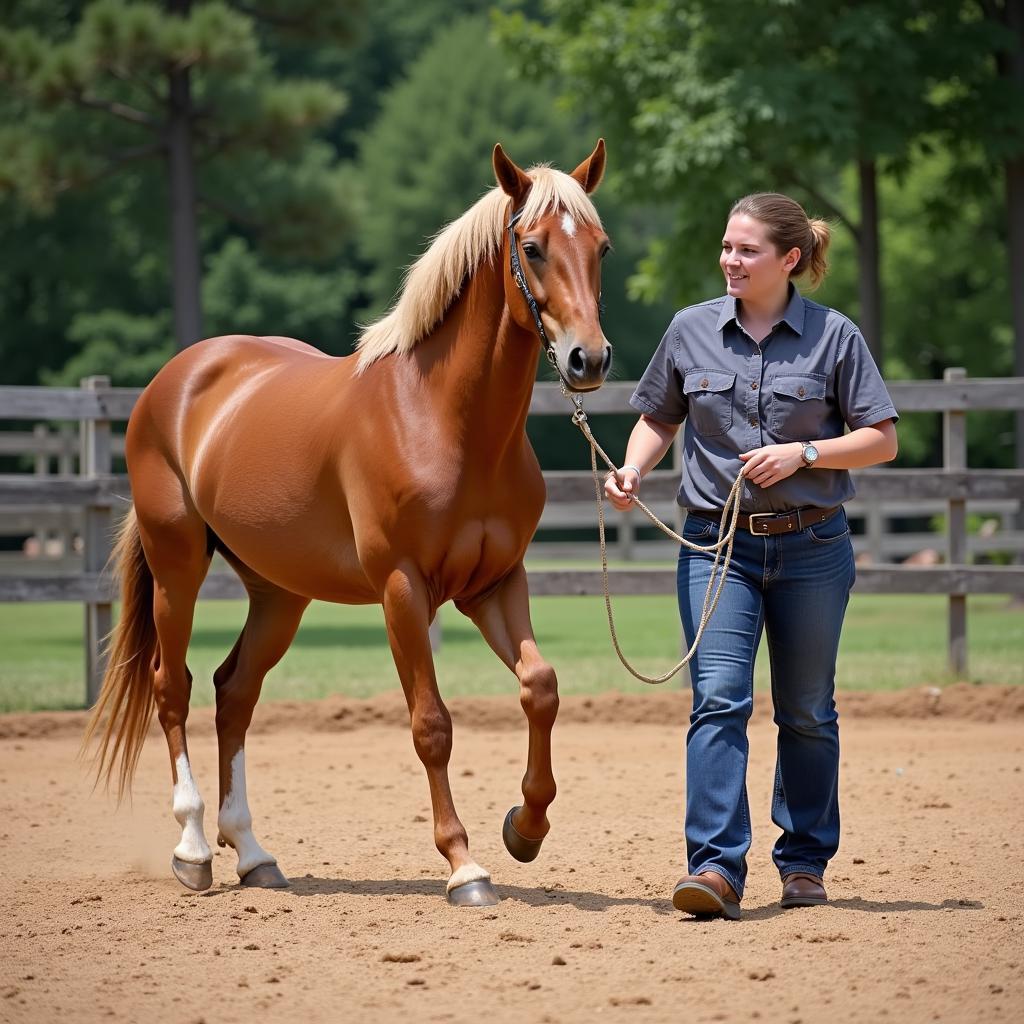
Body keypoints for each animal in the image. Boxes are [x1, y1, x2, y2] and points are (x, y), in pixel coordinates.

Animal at [83, 140, 610, 909]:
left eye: (601, 247)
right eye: (534, 247)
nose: (588, 359)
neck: (446, 420)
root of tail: (176, 379)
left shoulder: (493, 583)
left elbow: (540, 688)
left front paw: (525, 826)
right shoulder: (402, 589)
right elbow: (432, 726)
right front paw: (465, 866)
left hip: (279, 594)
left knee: (233, 692)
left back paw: (254, 855)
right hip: (178, 569)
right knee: (171, 687)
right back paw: (193, 849)